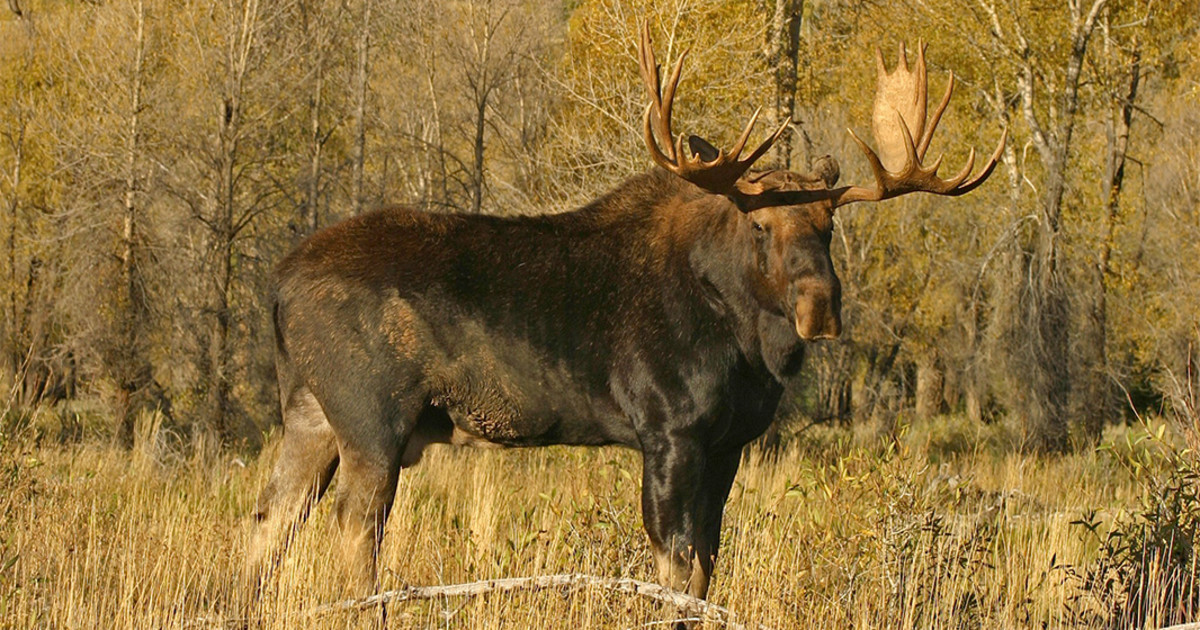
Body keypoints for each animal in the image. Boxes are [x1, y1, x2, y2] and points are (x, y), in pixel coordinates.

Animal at [247, 23, 1005, 612]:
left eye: (830, 224)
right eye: (760, 225)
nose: (821, 306)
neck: (750, 350)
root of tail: (276, 284)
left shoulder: (729, 442)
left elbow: (706, 565)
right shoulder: (667, 430)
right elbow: (675, 566)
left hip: (310, 414)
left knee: (267, 523)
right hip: (372, 418)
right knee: (353, 529)